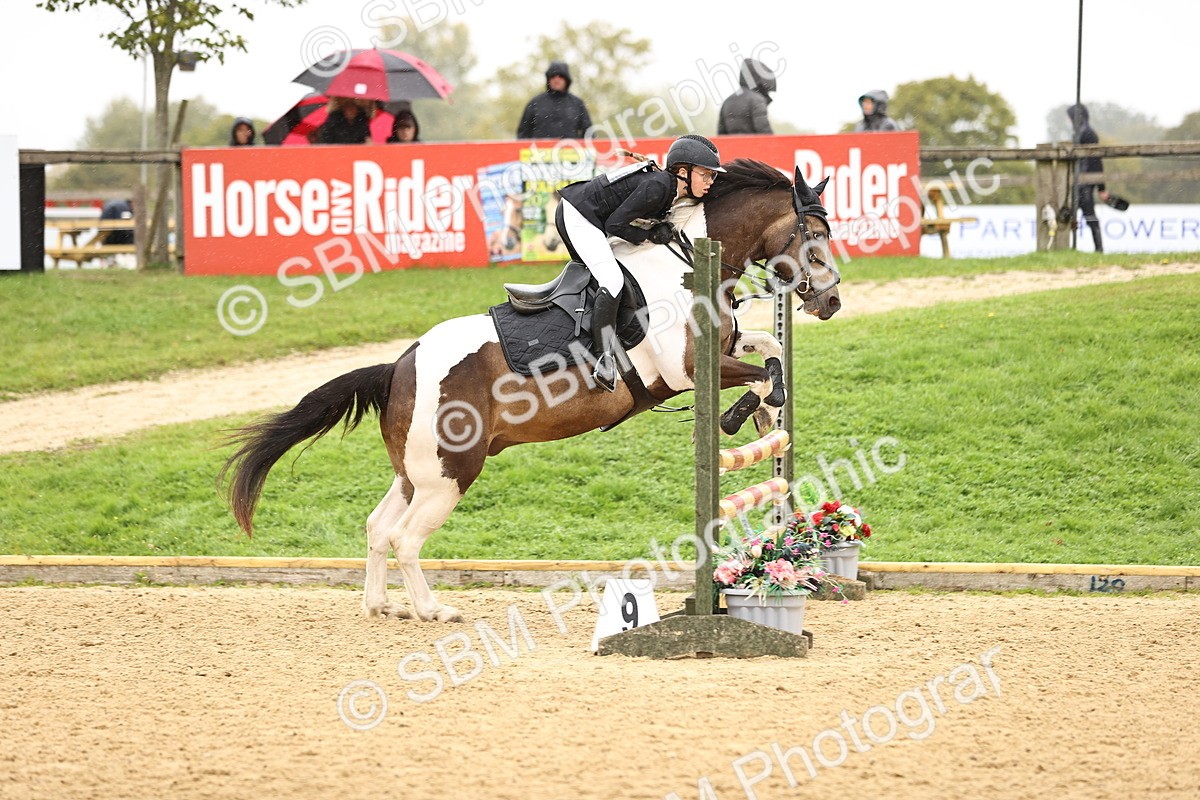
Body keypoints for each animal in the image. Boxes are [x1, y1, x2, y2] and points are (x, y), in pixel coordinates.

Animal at [220, 158, 842, 623]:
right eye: (814, 238)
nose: (831, 302)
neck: (689, 262)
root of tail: (400, 365)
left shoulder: (725, 349)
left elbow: (771, 350)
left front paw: (764, 417)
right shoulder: (688, 371)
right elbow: (759, 375)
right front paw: (743, 415)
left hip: (417, 471)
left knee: (378, 528)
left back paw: (380, 607)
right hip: (450, 475)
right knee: (405, 539)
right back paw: (432, 610)